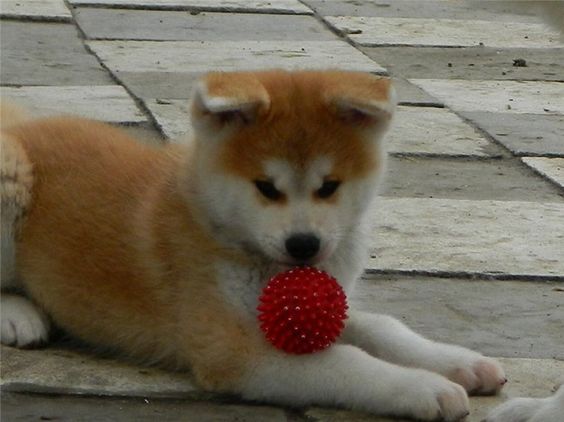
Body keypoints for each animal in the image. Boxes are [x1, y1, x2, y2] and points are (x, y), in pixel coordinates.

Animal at [1, 71, 506, 420]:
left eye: (329, 187)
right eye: (266, 188)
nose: (304, 245)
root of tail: (18, 127)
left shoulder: (317, 311)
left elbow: (381, 328)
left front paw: (457, 362)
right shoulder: (234, 350)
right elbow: (347, 363)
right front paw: (423, 387)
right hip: (11, 180)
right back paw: (18, 315)